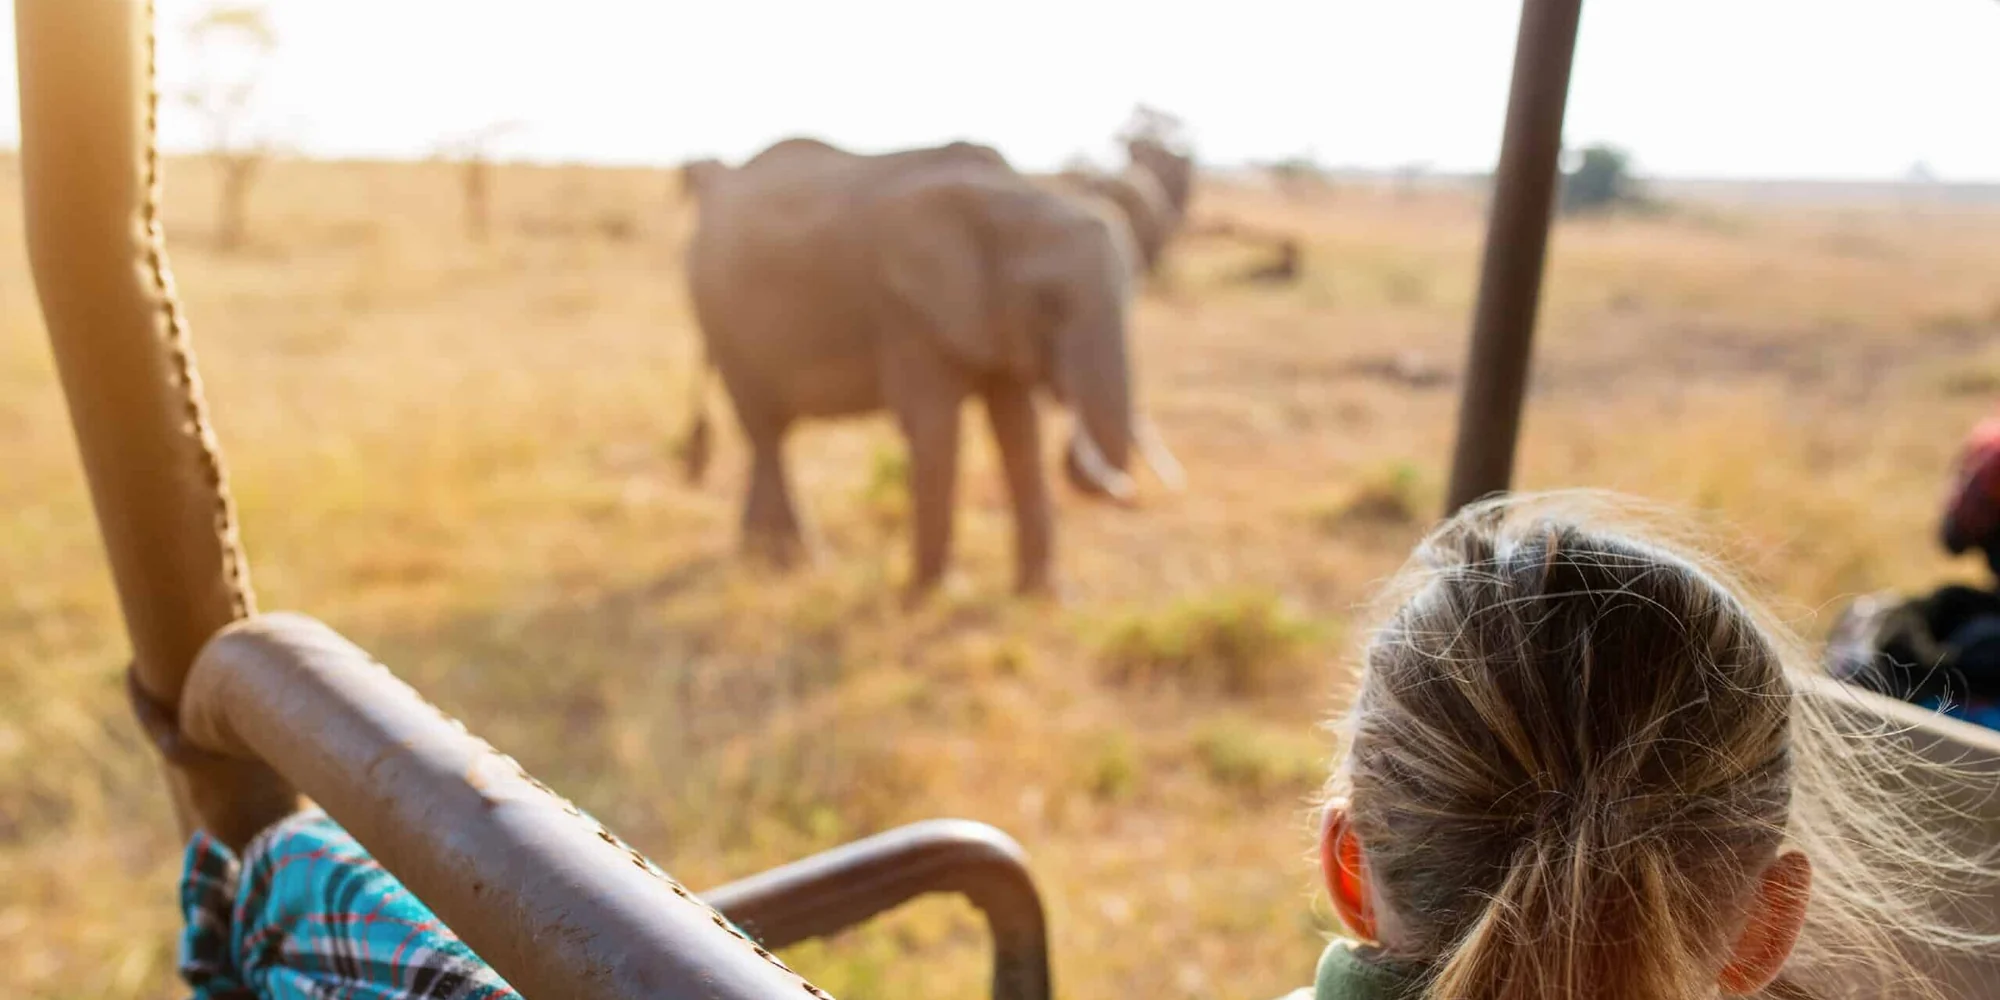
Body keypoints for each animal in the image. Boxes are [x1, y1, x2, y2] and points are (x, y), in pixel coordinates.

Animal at [678, 137, 1181, 599]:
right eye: (1049, 304)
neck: (1012, 198)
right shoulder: (904, 309)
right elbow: (936, 427)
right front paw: (936, 594)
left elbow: (1020, 428)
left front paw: (1043, 597)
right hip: (722, 316)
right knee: (764, 429)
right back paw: (795, 562)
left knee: (767, 435)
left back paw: (760, 557)